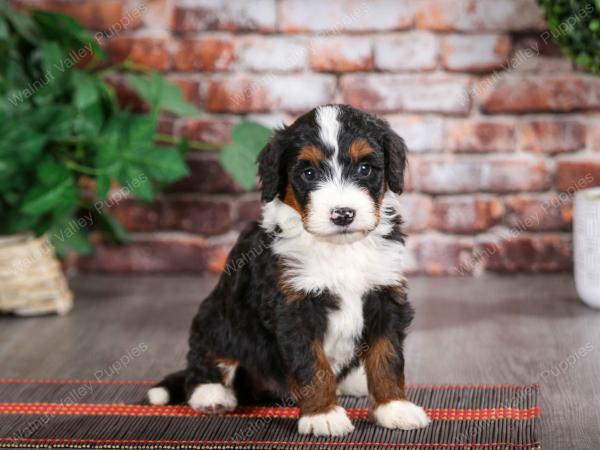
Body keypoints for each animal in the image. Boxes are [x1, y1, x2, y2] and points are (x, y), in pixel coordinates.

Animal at [149, 103, 432, 436]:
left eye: (364, 169)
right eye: (309, 173)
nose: (343, 214)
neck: (340, 248)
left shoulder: (384, 294)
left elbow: (386, 356)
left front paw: (394, 407)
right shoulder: (293, 306)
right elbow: (312, 365)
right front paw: (322, 414)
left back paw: (353, 381)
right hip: (216, 318)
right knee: (208, 359)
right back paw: (212, 394)